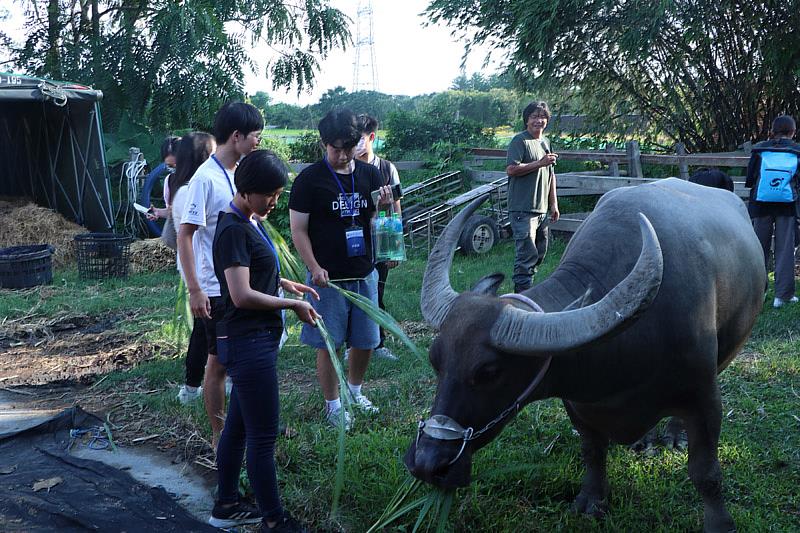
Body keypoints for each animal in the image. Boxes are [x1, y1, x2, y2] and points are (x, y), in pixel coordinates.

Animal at [406, 179, 764, 532]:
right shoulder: (577, 404)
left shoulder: (704, 398)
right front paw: (591, 501)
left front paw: (720, 524)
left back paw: (674, 435)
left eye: (489, 372)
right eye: (435, 359)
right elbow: (592, 451)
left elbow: (706, 472)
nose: (427, 463)